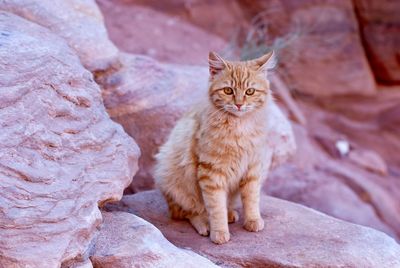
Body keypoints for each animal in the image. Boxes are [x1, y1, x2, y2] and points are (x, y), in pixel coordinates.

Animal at [155, 50, 276, 245]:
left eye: (250, 91)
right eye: (228, 90)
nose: (239, 104)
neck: (239, 127)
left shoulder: (253, 168)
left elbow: (251, 199)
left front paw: (252, 220)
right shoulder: (211, 171)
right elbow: (216, 207)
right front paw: (219, 232)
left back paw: (230, 213)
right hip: (174, 180)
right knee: (188, 211)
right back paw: (204, 223)